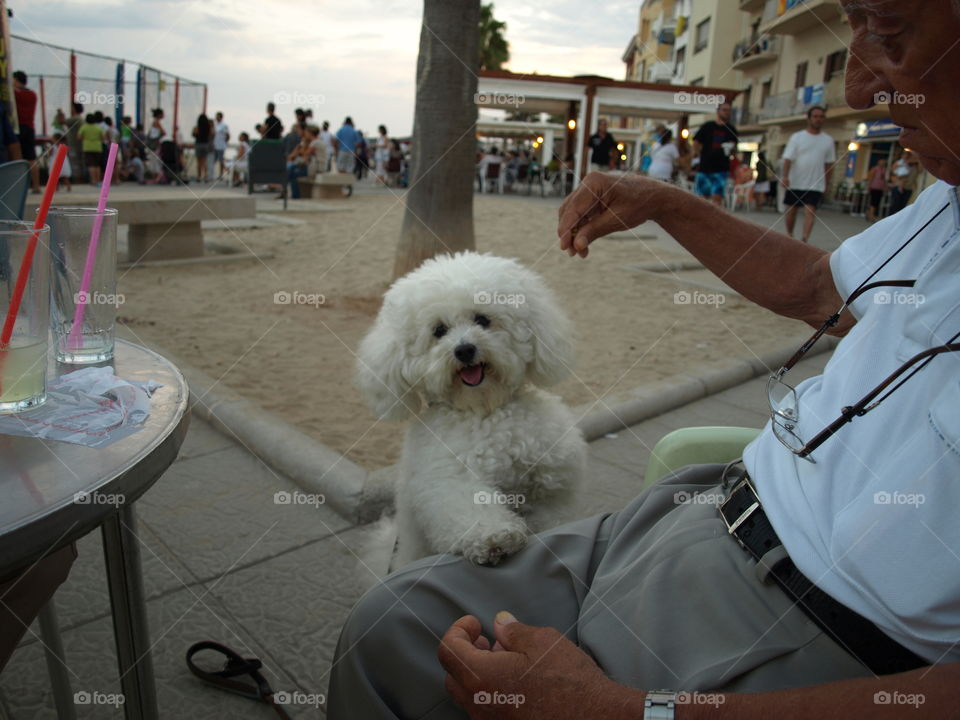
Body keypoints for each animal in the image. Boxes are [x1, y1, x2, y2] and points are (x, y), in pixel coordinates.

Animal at [356, 250, 588, 572]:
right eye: (439, 330)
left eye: (482, 319)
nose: (464, 350)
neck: (485, 410)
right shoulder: (451, 479)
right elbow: (470, 505)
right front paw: (495, 537)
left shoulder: (552, 486)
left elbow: (556, 515)